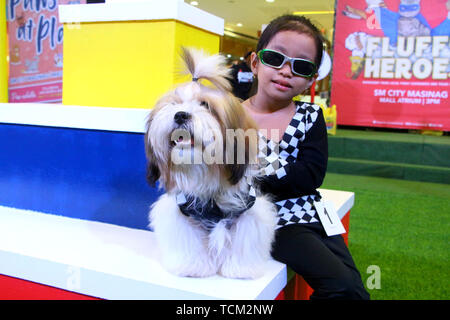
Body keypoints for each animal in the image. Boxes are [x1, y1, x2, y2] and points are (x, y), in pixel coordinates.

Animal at [146, 46, 276, 278]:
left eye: (205, 105)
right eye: (174, 104)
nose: (180, 115)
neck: (206, 173)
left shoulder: (247, 211)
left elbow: (244, 240)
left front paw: (240, 269)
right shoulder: (183, 213)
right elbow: (188, 241)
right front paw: (192, 266)